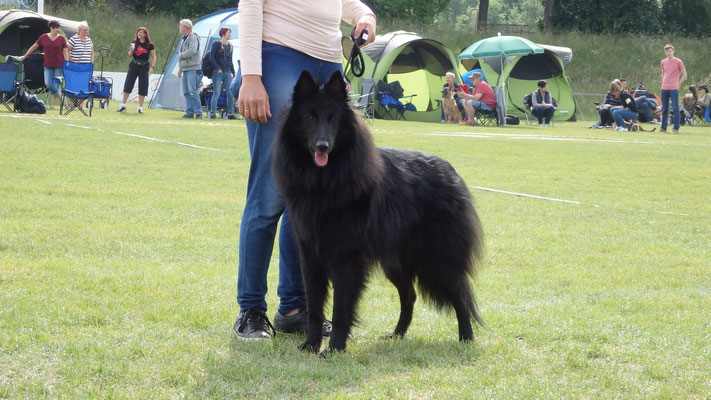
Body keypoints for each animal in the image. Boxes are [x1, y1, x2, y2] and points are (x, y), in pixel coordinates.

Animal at [272, 71, 484, 354]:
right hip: (395, 262)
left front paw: (335, 348)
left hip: (438, 260)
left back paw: (466, 338)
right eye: (309, 117)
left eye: (333, 119)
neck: (324, 182)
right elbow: (315, 308)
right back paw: (397, 335)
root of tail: (451, 172)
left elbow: (341, 308)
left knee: (460, 294)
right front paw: (311, 344)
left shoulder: (346, 259)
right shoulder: (310, 257)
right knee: (410, 296)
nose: (322, 146)